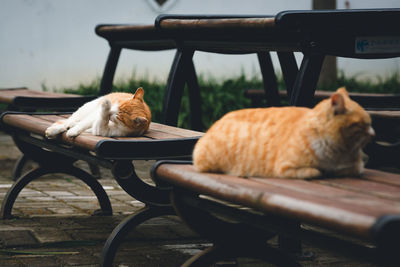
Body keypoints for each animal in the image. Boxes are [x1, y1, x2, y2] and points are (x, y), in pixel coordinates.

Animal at [193, 88, 376, 180]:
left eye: (369, 123)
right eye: (362, 124)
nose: (373, 134)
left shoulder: (356, 166)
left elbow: (352, 169)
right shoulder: (284, 168)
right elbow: (314, 172)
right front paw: (323, 171)